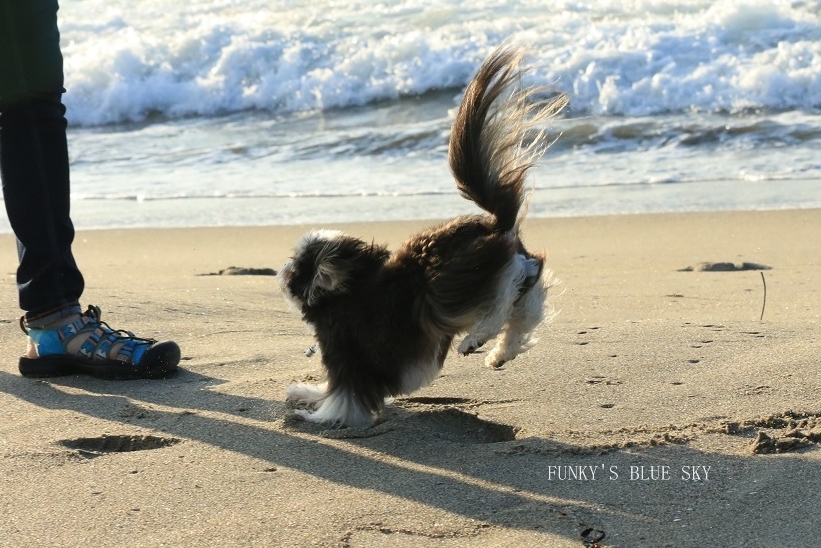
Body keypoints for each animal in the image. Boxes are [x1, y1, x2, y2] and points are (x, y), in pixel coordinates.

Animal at [278, 44, 568, 428]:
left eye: (297, 269)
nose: (282, 272)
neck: (348, 291)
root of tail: (495, 225)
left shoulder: (347, 358)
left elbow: (340, 398)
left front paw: (310, 408)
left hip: (441, 285)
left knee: (503, 295)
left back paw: (475, 338)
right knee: (525, 299)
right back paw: (498, 354)